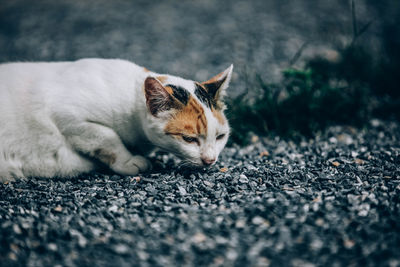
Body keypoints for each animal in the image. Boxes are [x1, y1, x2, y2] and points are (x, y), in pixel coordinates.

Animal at [0, 58, 233, 182]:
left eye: (220, 137)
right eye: (189, 139)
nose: (210, 160)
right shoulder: (67, 115)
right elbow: (107, 137)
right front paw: (129, 161)